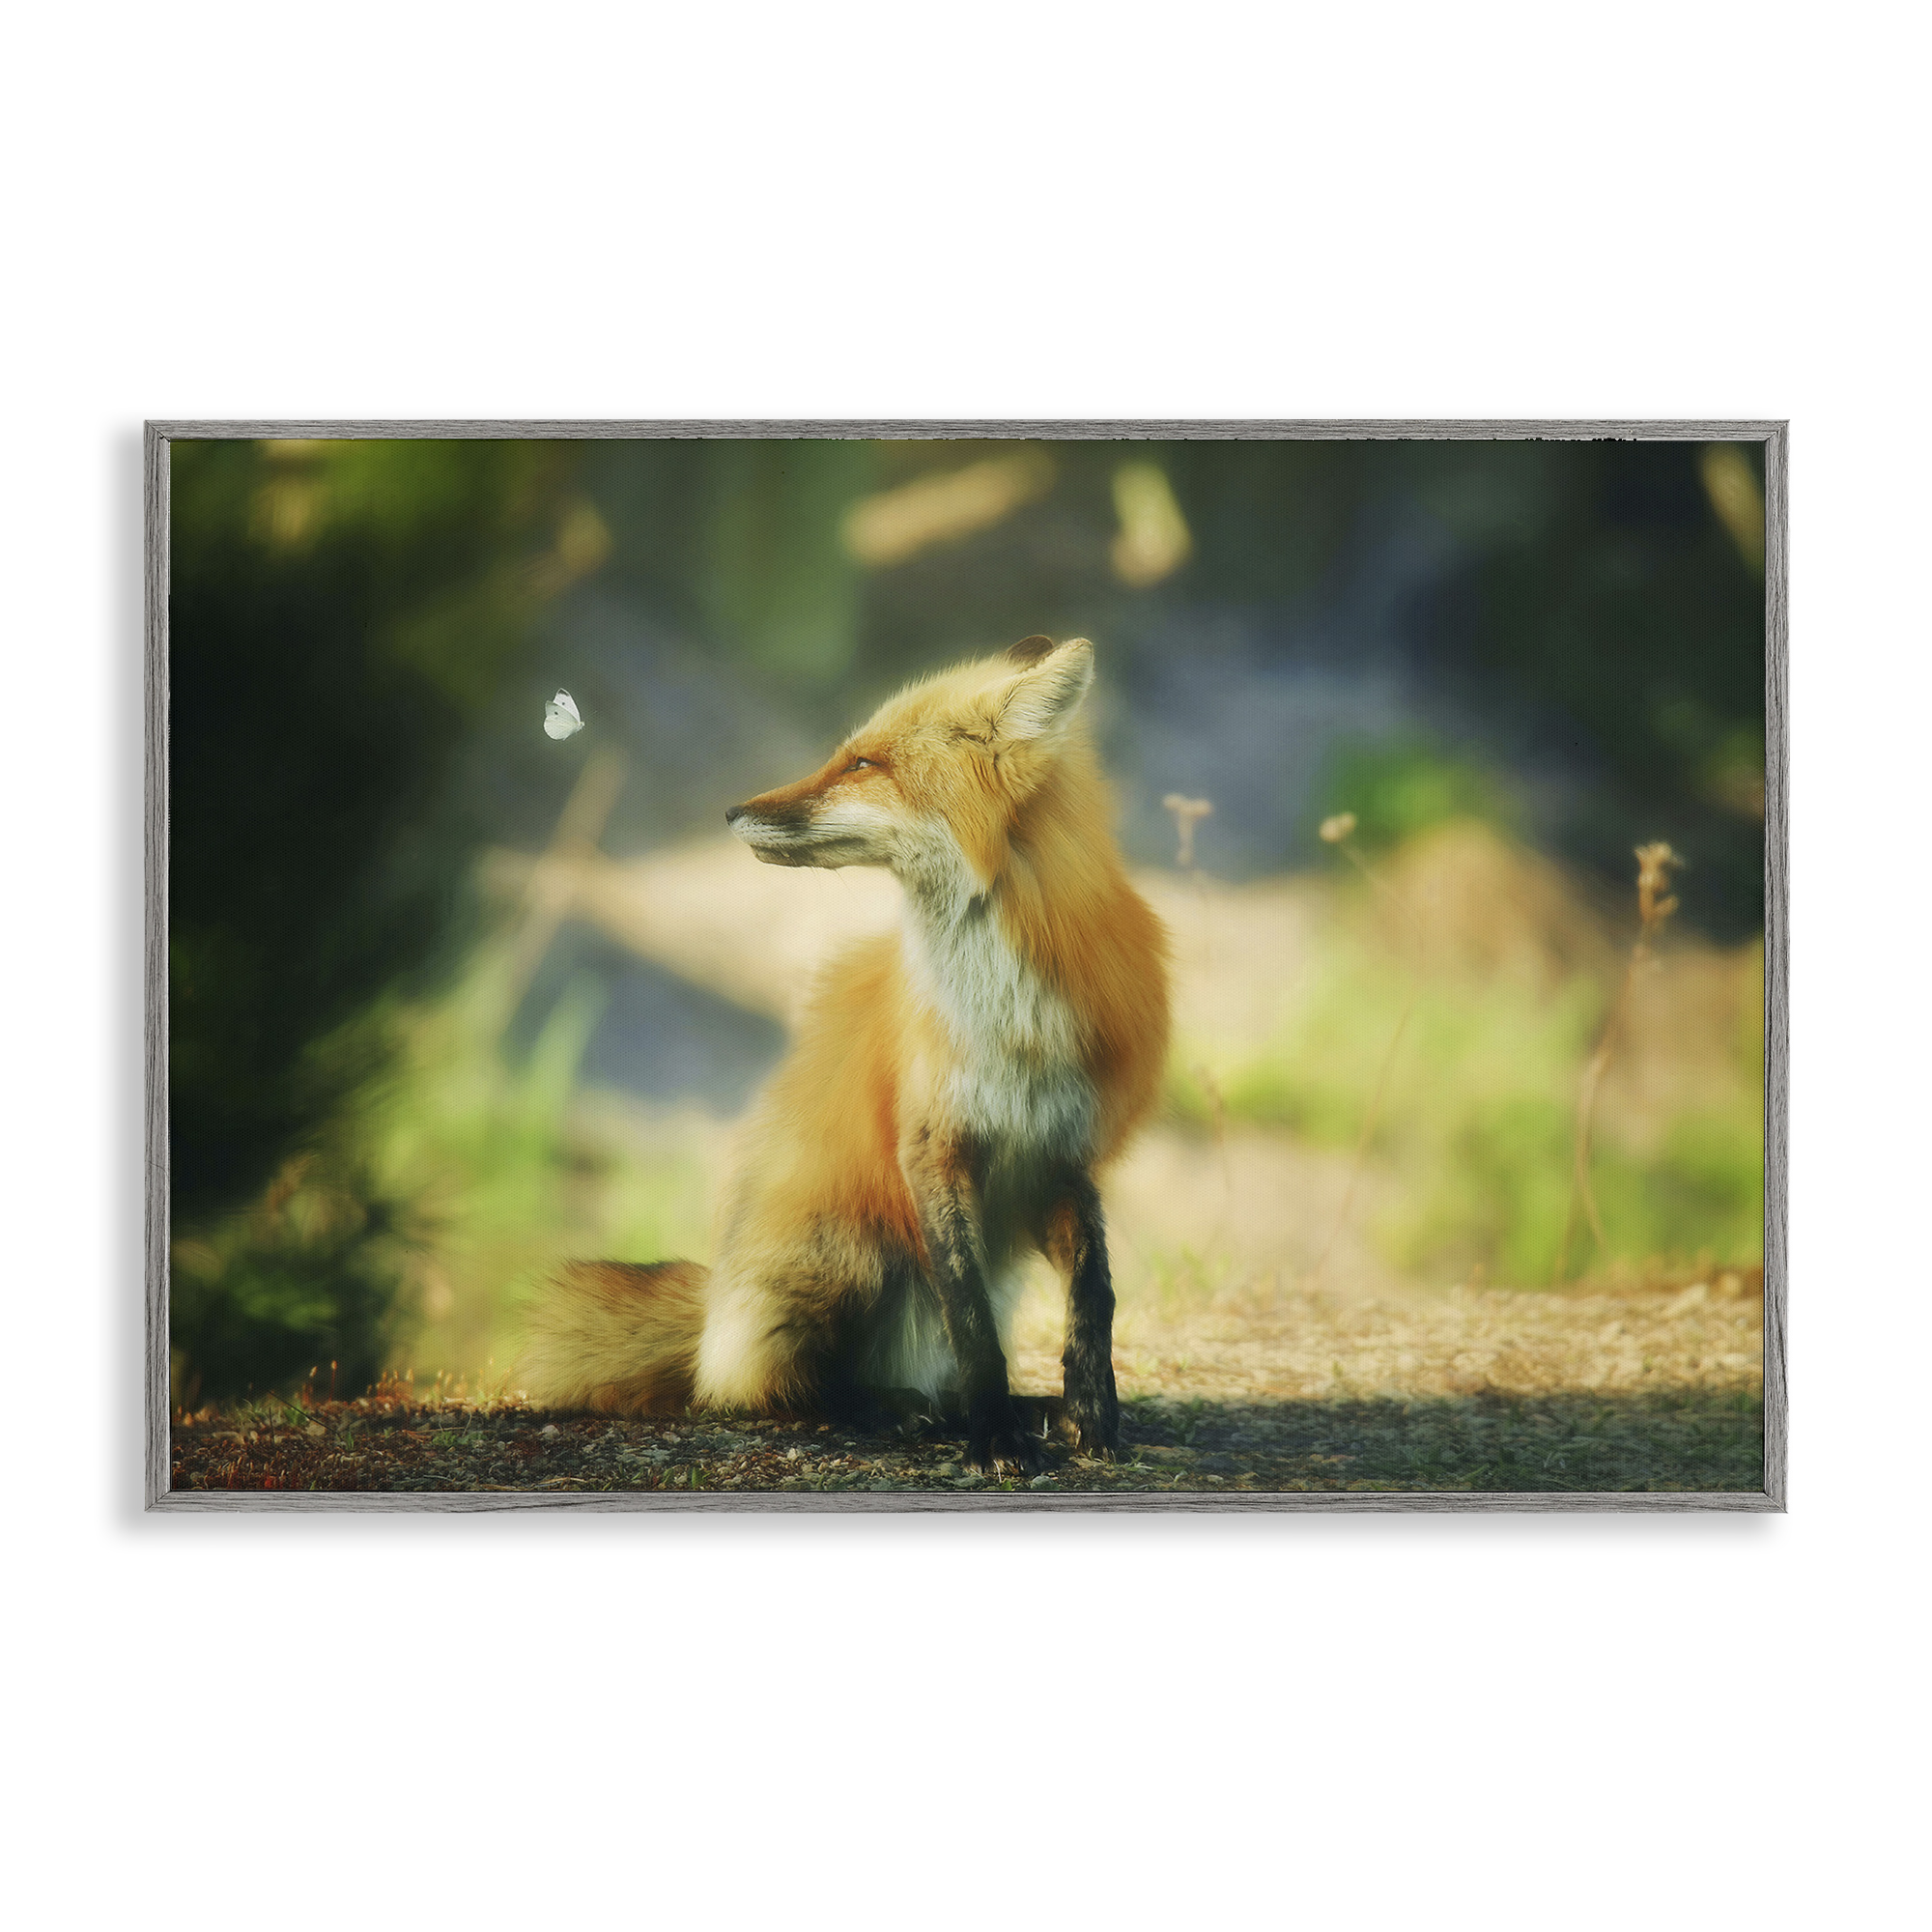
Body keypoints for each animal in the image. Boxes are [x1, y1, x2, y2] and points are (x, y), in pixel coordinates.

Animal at [517, 634, 1170, 1472]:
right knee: (780, 1388)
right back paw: (890, 1407)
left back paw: (1003, 1408)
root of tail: (715, 1316)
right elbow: (970, 1322)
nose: (730, 811)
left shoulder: (1062, 1150)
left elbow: (1095, 1293)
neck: (1005, 1016)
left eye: (863, 764)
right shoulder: (929, 1144)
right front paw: (995, 1436)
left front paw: (1090, 1411)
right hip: (854, 1247)